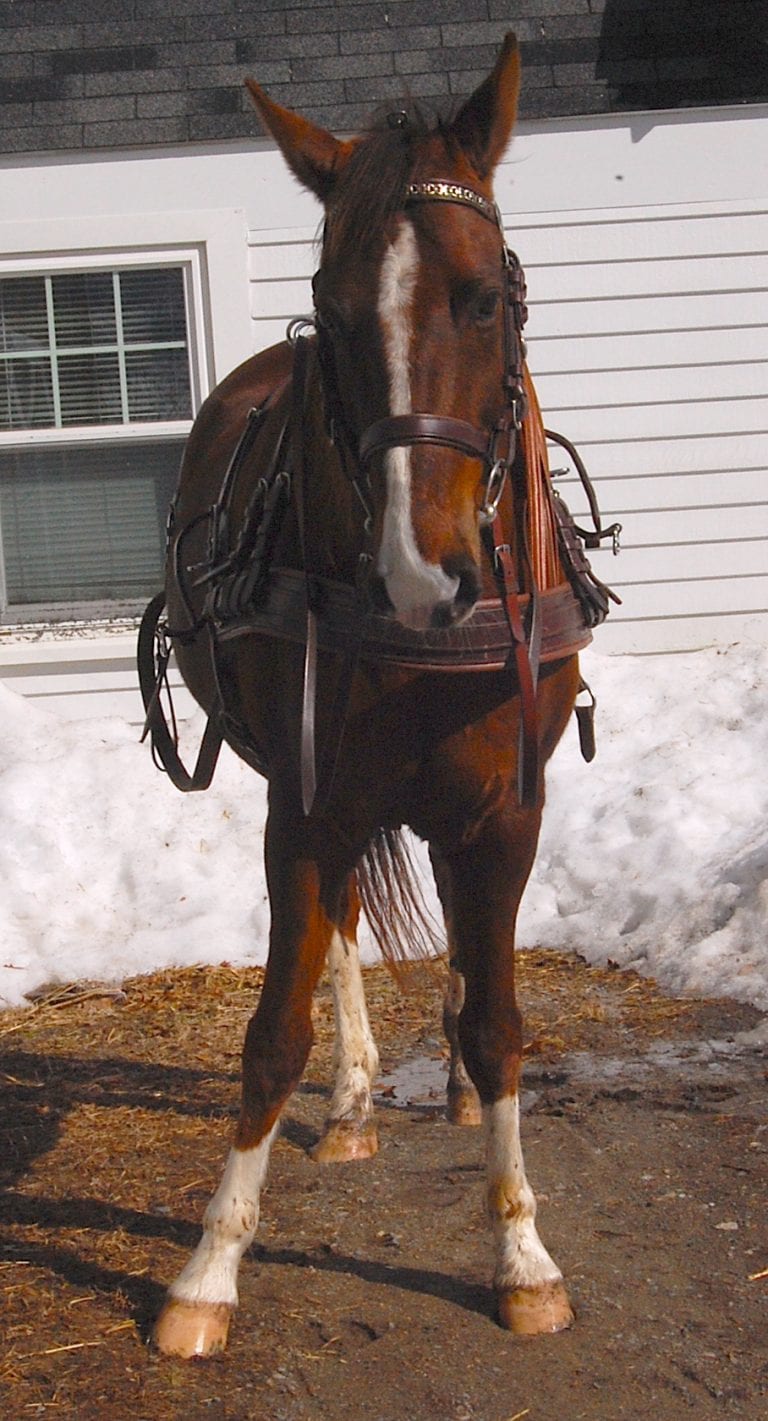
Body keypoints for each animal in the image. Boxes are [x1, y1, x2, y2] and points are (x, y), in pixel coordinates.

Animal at [140, 32, 617, 1358]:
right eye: (335, 310)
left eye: (489, 297)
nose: (421, 573)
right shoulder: (305, 804)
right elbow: (273, 1035)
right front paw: (210, 1266)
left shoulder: (508, 808)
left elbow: (500, 1019)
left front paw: (522, 1253)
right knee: (350, 928)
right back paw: (356, 1098)